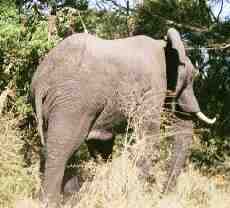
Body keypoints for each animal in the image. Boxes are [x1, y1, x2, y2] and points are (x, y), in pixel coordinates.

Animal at [30, 27, 216, 206]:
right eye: (191, 79)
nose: (162, 195)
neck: (164, 46)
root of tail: (42, 79)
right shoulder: (152, 87)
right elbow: (148, 135)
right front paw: (141, 196)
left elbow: (101, 144)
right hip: (73, 102)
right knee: (63, 148)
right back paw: (50, 202)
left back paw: (70, 200)